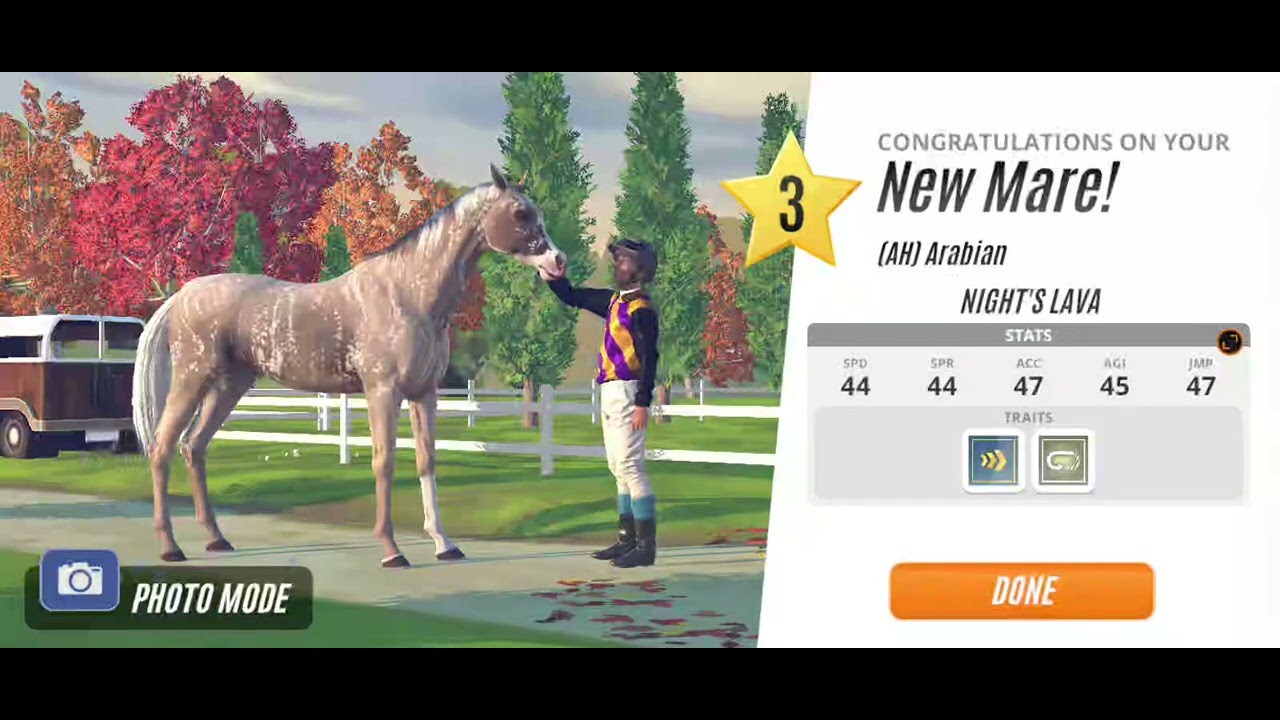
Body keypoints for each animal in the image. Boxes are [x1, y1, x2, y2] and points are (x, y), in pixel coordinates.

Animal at [131, 164, 567, 568]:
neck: (407, 294)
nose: (558, 260)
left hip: (229, 386)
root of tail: (182, 296)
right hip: (192, 379)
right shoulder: (383, 392)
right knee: (162, 447)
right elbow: (384, 461)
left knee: (194, 447)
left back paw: (216, 539)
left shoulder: (424, 394)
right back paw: (170, 547)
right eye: (520, 212)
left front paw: (444, 544)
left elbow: (426, 461)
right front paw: (392, 551)